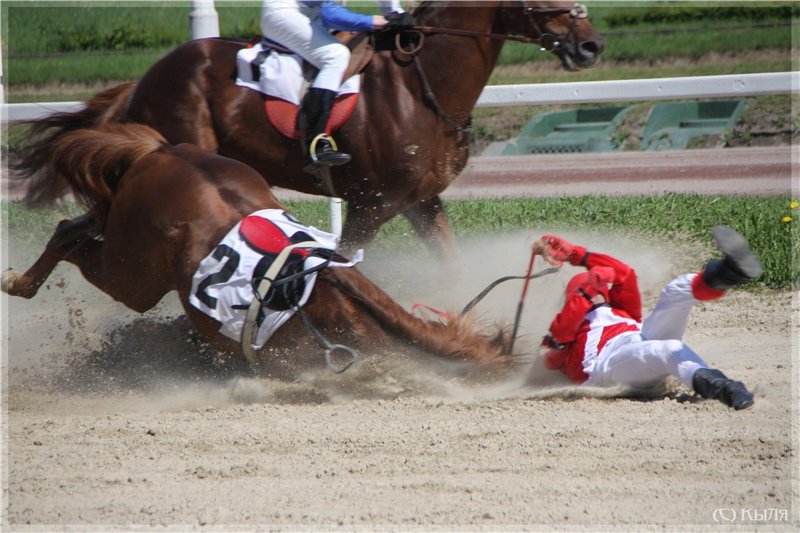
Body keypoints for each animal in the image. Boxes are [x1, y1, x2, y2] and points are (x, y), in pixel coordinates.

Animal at [1, 123, 512, 378]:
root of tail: (159, 152)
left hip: (124, 235)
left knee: (78, 226)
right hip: (133, 275)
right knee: (72, 238)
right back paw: (19, 283)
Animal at [15, 0, 604, 262]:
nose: (591, 45)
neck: (422, 86)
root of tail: (144, 79)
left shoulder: (421, 201)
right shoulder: (372, 202)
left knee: (76, 227)